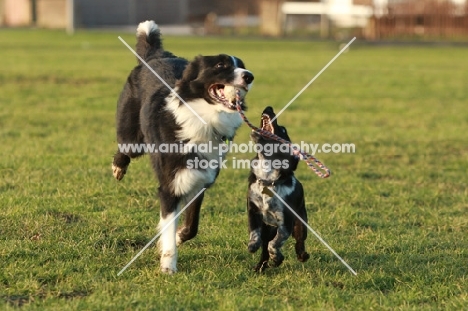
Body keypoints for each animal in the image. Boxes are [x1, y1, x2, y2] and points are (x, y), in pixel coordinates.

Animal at [112, 21, 254, 276]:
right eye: (221, 65)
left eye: (242, 66)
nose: (249, 76)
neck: (204, 119)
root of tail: (156, 56)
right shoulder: (170, 187)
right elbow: (169, 228)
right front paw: (168, 266)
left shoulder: (198, 181)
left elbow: (191, 226)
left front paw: (177, 237)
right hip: (132, 138)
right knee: (125, 149)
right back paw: (118, 168)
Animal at [247, 108, 308, 272]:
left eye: (283, 129)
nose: (269, 107)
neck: (268, 179)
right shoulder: (252, 210)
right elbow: (254, 232)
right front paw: (252, 245)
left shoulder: (285, 222)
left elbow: (275, 244)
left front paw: (277, 256)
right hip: (268, 229)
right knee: (264, 247)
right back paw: (261, 267)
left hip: (300, 223)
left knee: (299, 241)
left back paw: (301, 256)